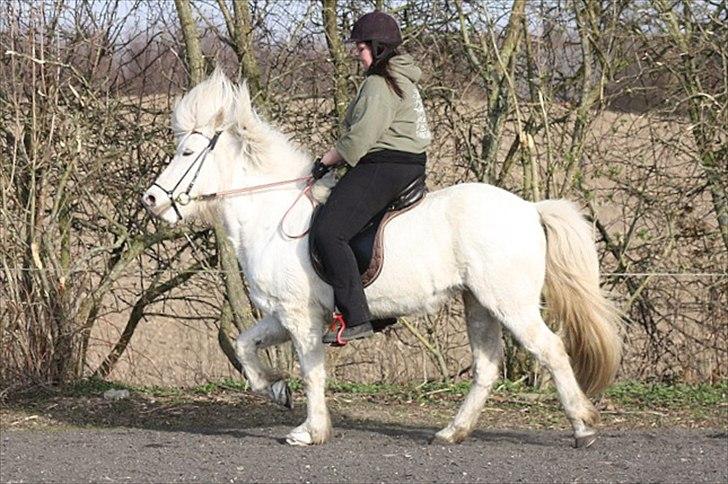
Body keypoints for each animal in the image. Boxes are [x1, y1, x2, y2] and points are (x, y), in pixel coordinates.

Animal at [144, 70, 624, 448]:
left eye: (187, 153)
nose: (151, 200)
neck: (271, 213)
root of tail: (530, 208)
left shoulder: (300, 317)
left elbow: (312, 372)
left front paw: (309, 431)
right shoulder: (285, 314)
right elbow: (245, 346)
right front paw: (276, 390)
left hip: (510, 303)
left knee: (552, 350)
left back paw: (583, 428)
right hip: (479, 304)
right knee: (487, 367)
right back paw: (451, 432)